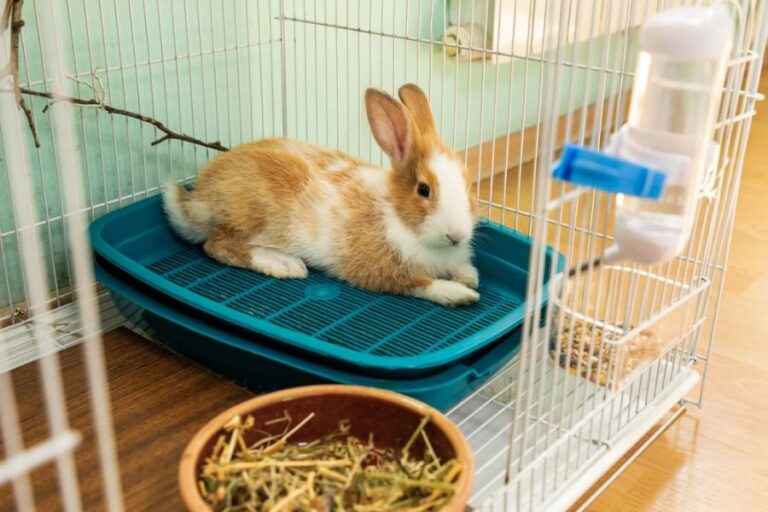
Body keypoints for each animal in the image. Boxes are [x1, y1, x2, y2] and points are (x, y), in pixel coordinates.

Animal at [162, 83, 480, 307]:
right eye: (424, 190)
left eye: (468, 183)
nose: (456, 236)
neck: (400, 218)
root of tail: (196, 200)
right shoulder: (381, 272)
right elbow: (419, 284)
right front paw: (459, 294)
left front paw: (469, 276)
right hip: (250, 217)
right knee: (217, 245)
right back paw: (283, 264)